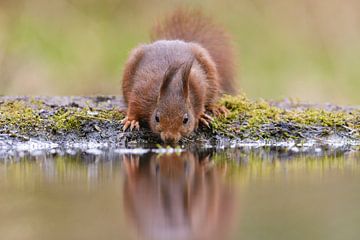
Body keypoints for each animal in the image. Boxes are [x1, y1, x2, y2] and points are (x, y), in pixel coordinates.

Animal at [121, 8, 236, 144]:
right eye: (157, 117)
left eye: (186, 119)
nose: (170, 138)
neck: (173, 85)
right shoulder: (142, 92)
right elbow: (133, 105)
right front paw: (131, 120)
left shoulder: (198, 88)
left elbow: (201, 103)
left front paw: (201, 116)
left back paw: (216, 108)